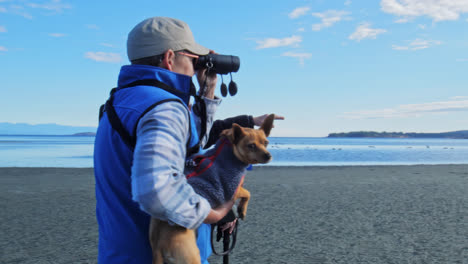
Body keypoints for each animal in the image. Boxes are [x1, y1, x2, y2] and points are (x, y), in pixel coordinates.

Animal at [149, 114, 274, 264]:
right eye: (251, 146)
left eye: (266, 143)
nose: (268, 155)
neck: (229, 149)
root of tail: (158, 247)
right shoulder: (232, 190)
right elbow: (248, 194)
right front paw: (242, 210)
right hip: (192, 257)